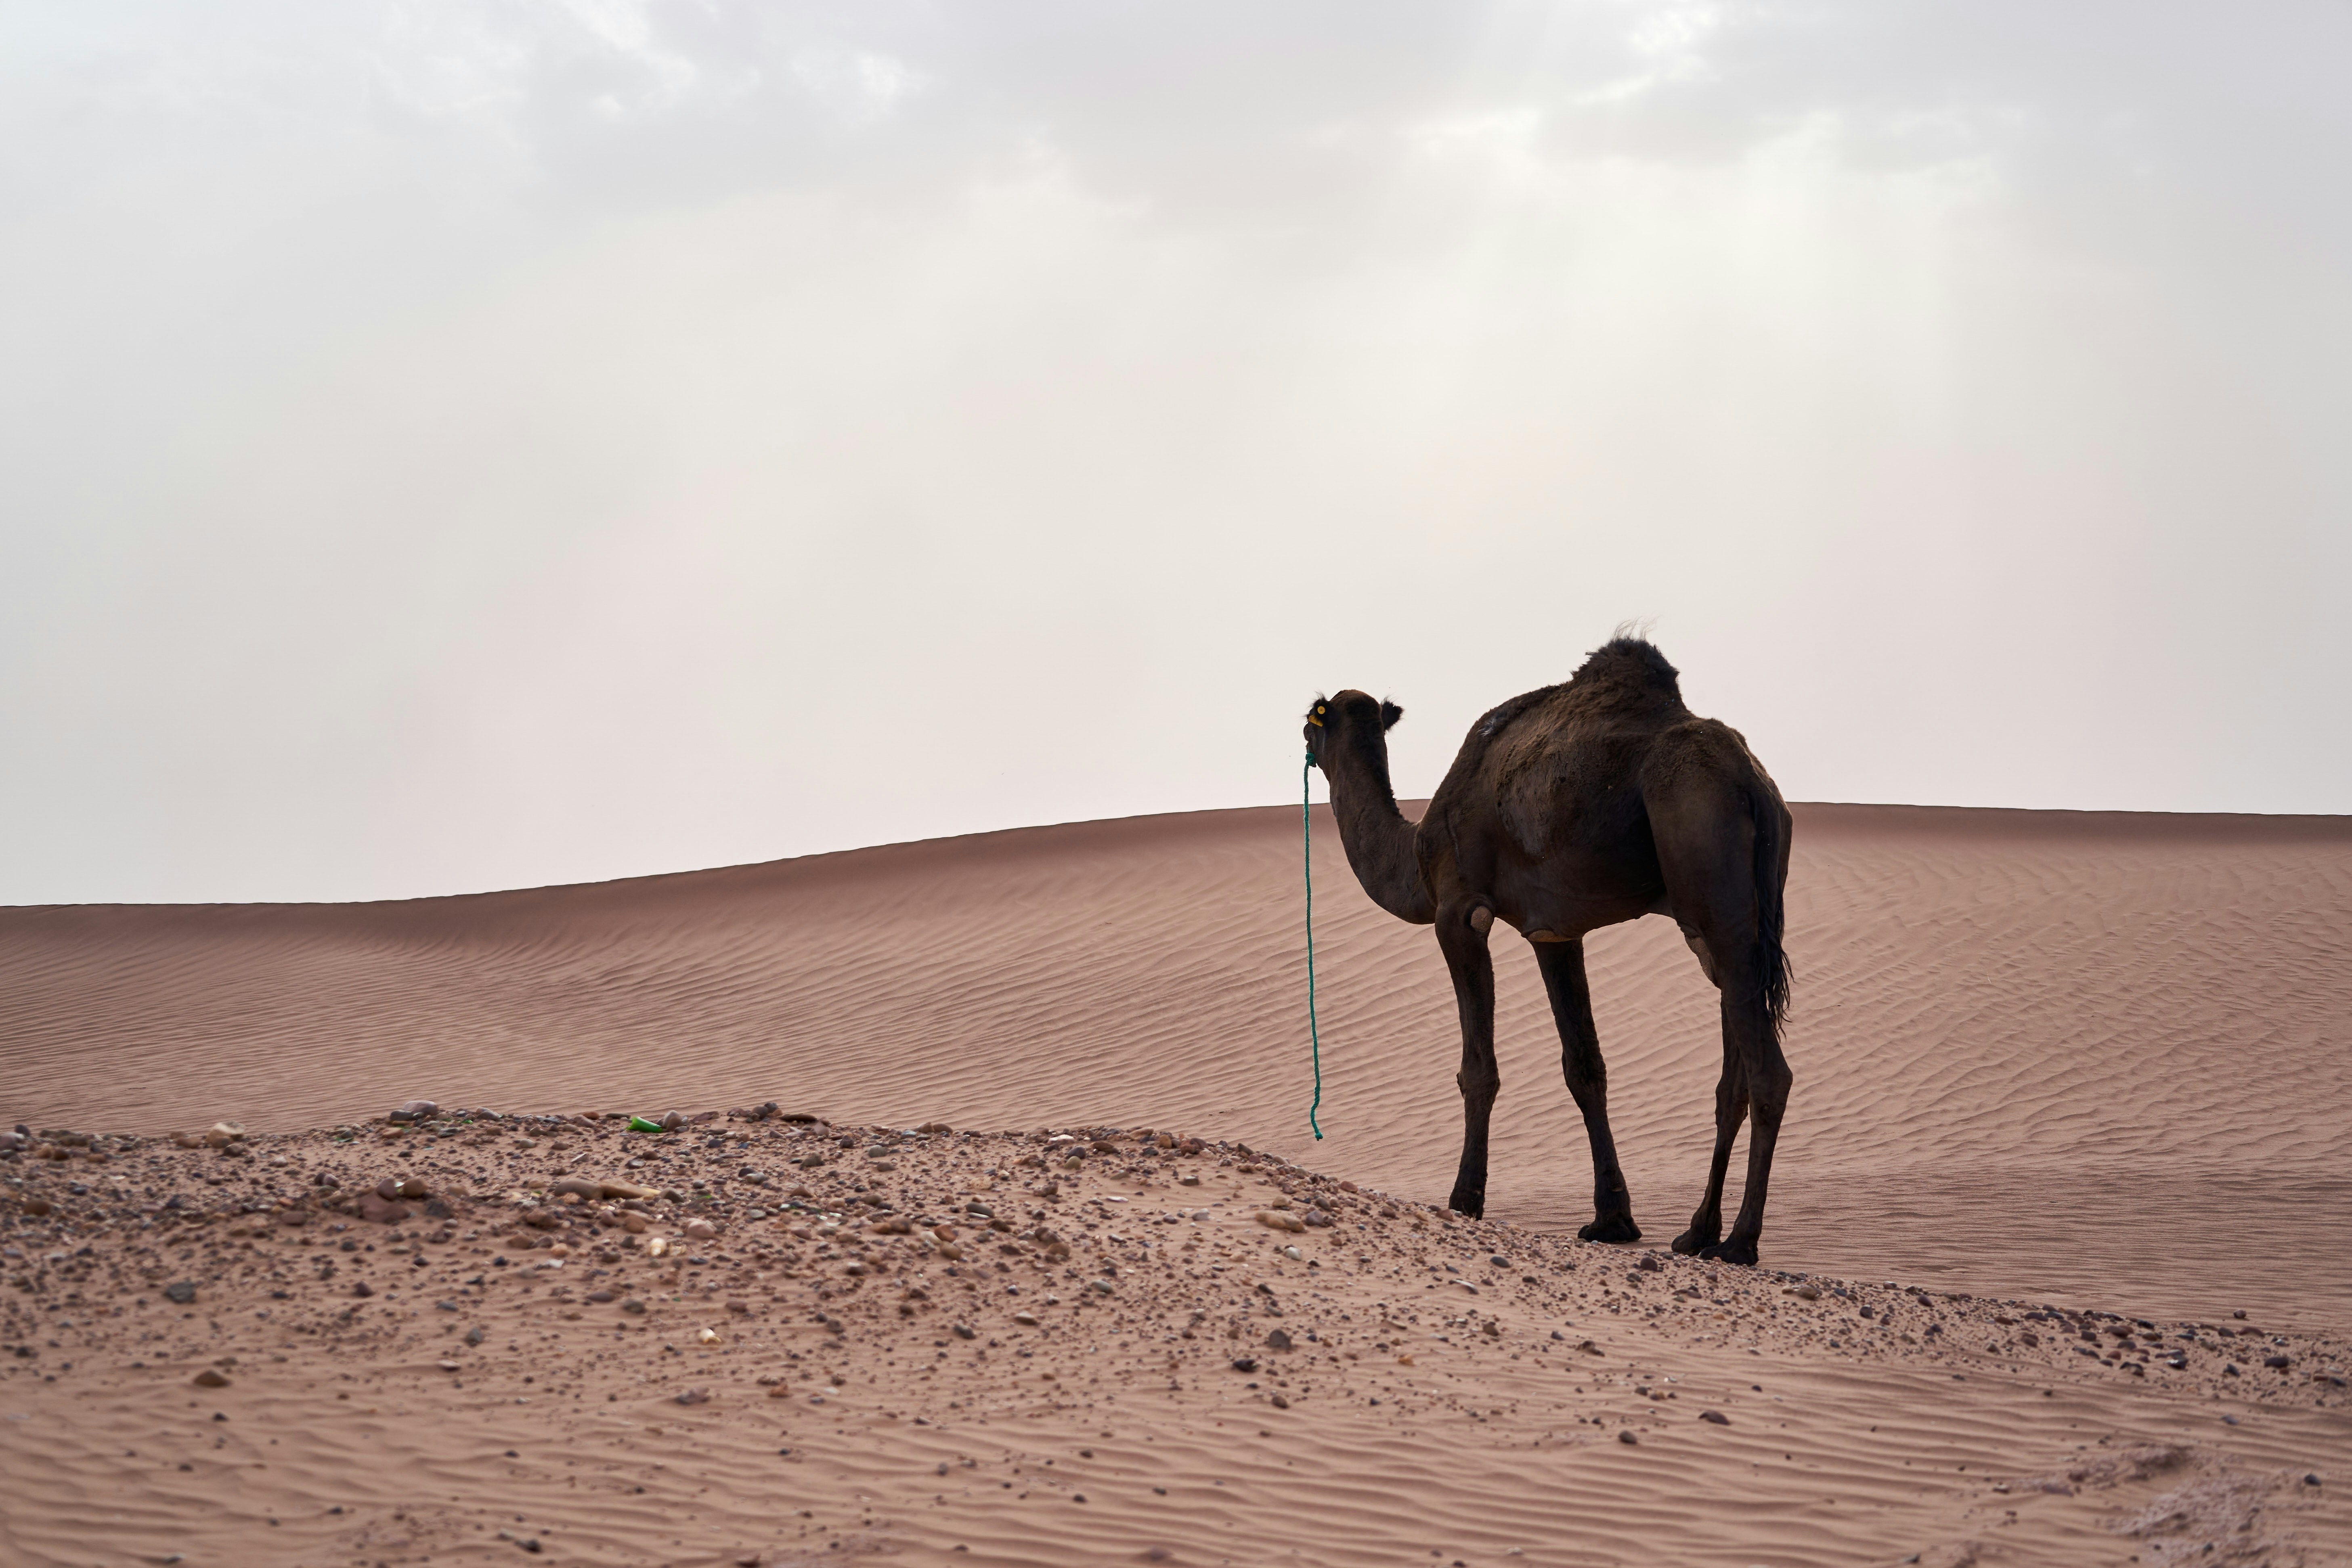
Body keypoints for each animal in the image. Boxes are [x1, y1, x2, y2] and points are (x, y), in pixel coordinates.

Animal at [1304, 636, 1793, 1265]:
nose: (1302, 740)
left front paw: (1464, 1199)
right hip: (1736, 914)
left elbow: (1478, 1068)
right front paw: (1612, 1218)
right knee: (1733, 1065)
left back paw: (1740, 1242)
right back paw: (1697, 1232)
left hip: (1708, 862)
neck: (1415, 852)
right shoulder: (1554, 933)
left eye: (1313, 717)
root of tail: (1753, 785)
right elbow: (1584, 1066)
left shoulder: (1459, 911)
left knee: (1769, 1073)